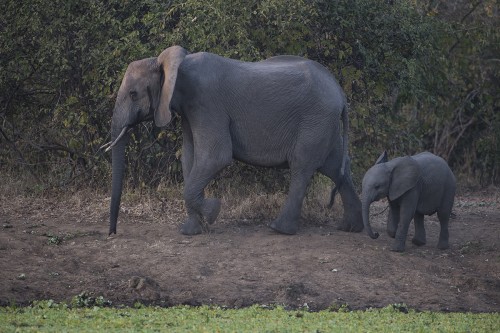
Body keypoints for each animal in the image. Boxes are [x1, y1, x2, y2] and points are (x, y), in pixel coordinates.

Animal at [106, 45, 364, 235]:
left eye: (133, 94)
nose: (113, 234)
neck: (176, 63)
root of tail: (341, 93)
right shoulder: (188, 110)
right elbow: (189, 159)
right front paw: (190, 231)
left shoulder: (206, 103)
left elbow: (215, 157)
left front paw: (213, 211)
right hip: (324, 124)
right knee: (335, 167)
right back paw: (350, 228)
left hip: (315, 120)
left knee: (302, 166)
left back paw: (279, 229)